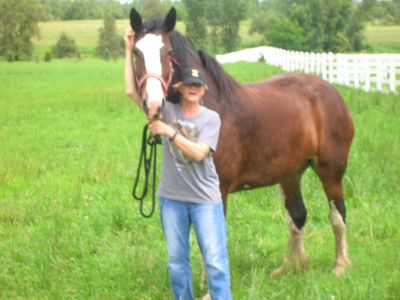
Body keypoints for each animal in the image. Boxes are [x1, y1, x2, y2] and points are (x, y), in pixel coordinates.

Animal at [127, 7, 354, 278]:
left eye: (168, 53)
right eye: (136, 52)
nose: (153, 105)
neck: (214, 105)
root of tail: (332, 93)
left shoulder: (219, 189)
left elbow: (211, 238)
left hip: (331, 171)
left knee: (338, 215)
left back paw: (340, 265)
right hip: (290, 174)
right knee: (296, 216)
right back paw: (290, 268)